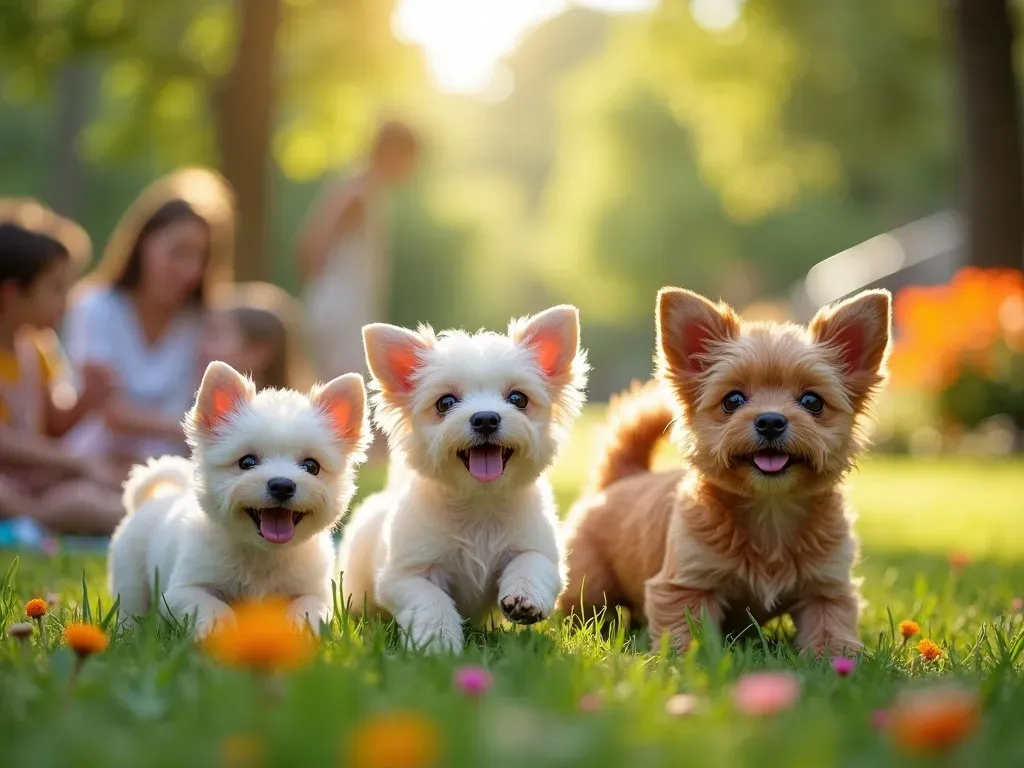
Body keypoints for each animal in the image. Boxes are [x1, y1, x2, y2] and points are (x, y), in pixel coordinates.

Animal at [108, 360, 370, 638]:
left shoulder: (315, 592)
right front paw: (219, 628)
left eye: (312, 466)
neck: (262, 556)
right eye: (247, 462)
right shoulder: (183, 591)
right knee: (130, 608)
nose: (282, 485)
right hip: (130, 576)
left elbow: (310, 606)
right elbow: (211, 605)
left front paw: (300, 627)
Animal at [339, 303, 589, 651]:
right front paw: (438, 639)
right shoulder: (404, 575)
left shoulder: (540, 548)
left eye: (518, 399)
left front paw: (524, 596)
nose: (485, 419)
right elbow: (430, 600)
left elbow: (532, 563)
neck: (479, 505)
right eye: (445, 403)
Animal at [557, 288, 892, 655]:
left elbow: (830, 629)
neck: (770, 512)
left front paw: (836, 657)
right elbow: (687, 632)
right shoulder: (686, 584)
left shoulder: (827, 589)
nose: (770, 420)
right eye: (733, 400)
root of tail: (625, 475)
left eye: (812, 402)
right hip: (590, 585)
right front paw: (688, 658)